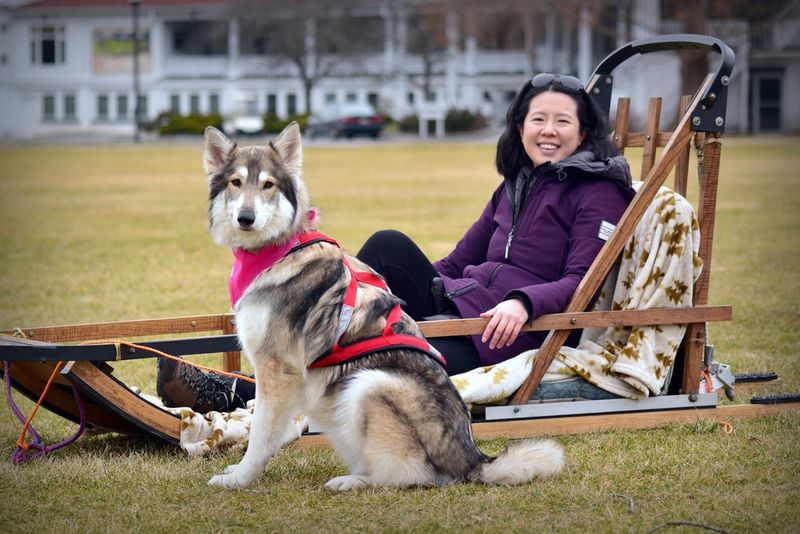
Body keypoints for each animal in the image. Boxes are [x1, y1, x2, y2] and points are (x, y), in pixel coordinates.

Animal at [202, 123, 564, 492]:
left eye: (268, 185)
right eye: (236, 182)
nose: (246, 218)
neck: (276, 250)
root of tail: (472, 459)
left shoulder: (277, 369)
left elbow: (261, 433)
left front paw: (240, 478)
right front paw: (241, 470)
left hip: (369, 383)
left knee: (409, 476)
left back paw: (351, 482)